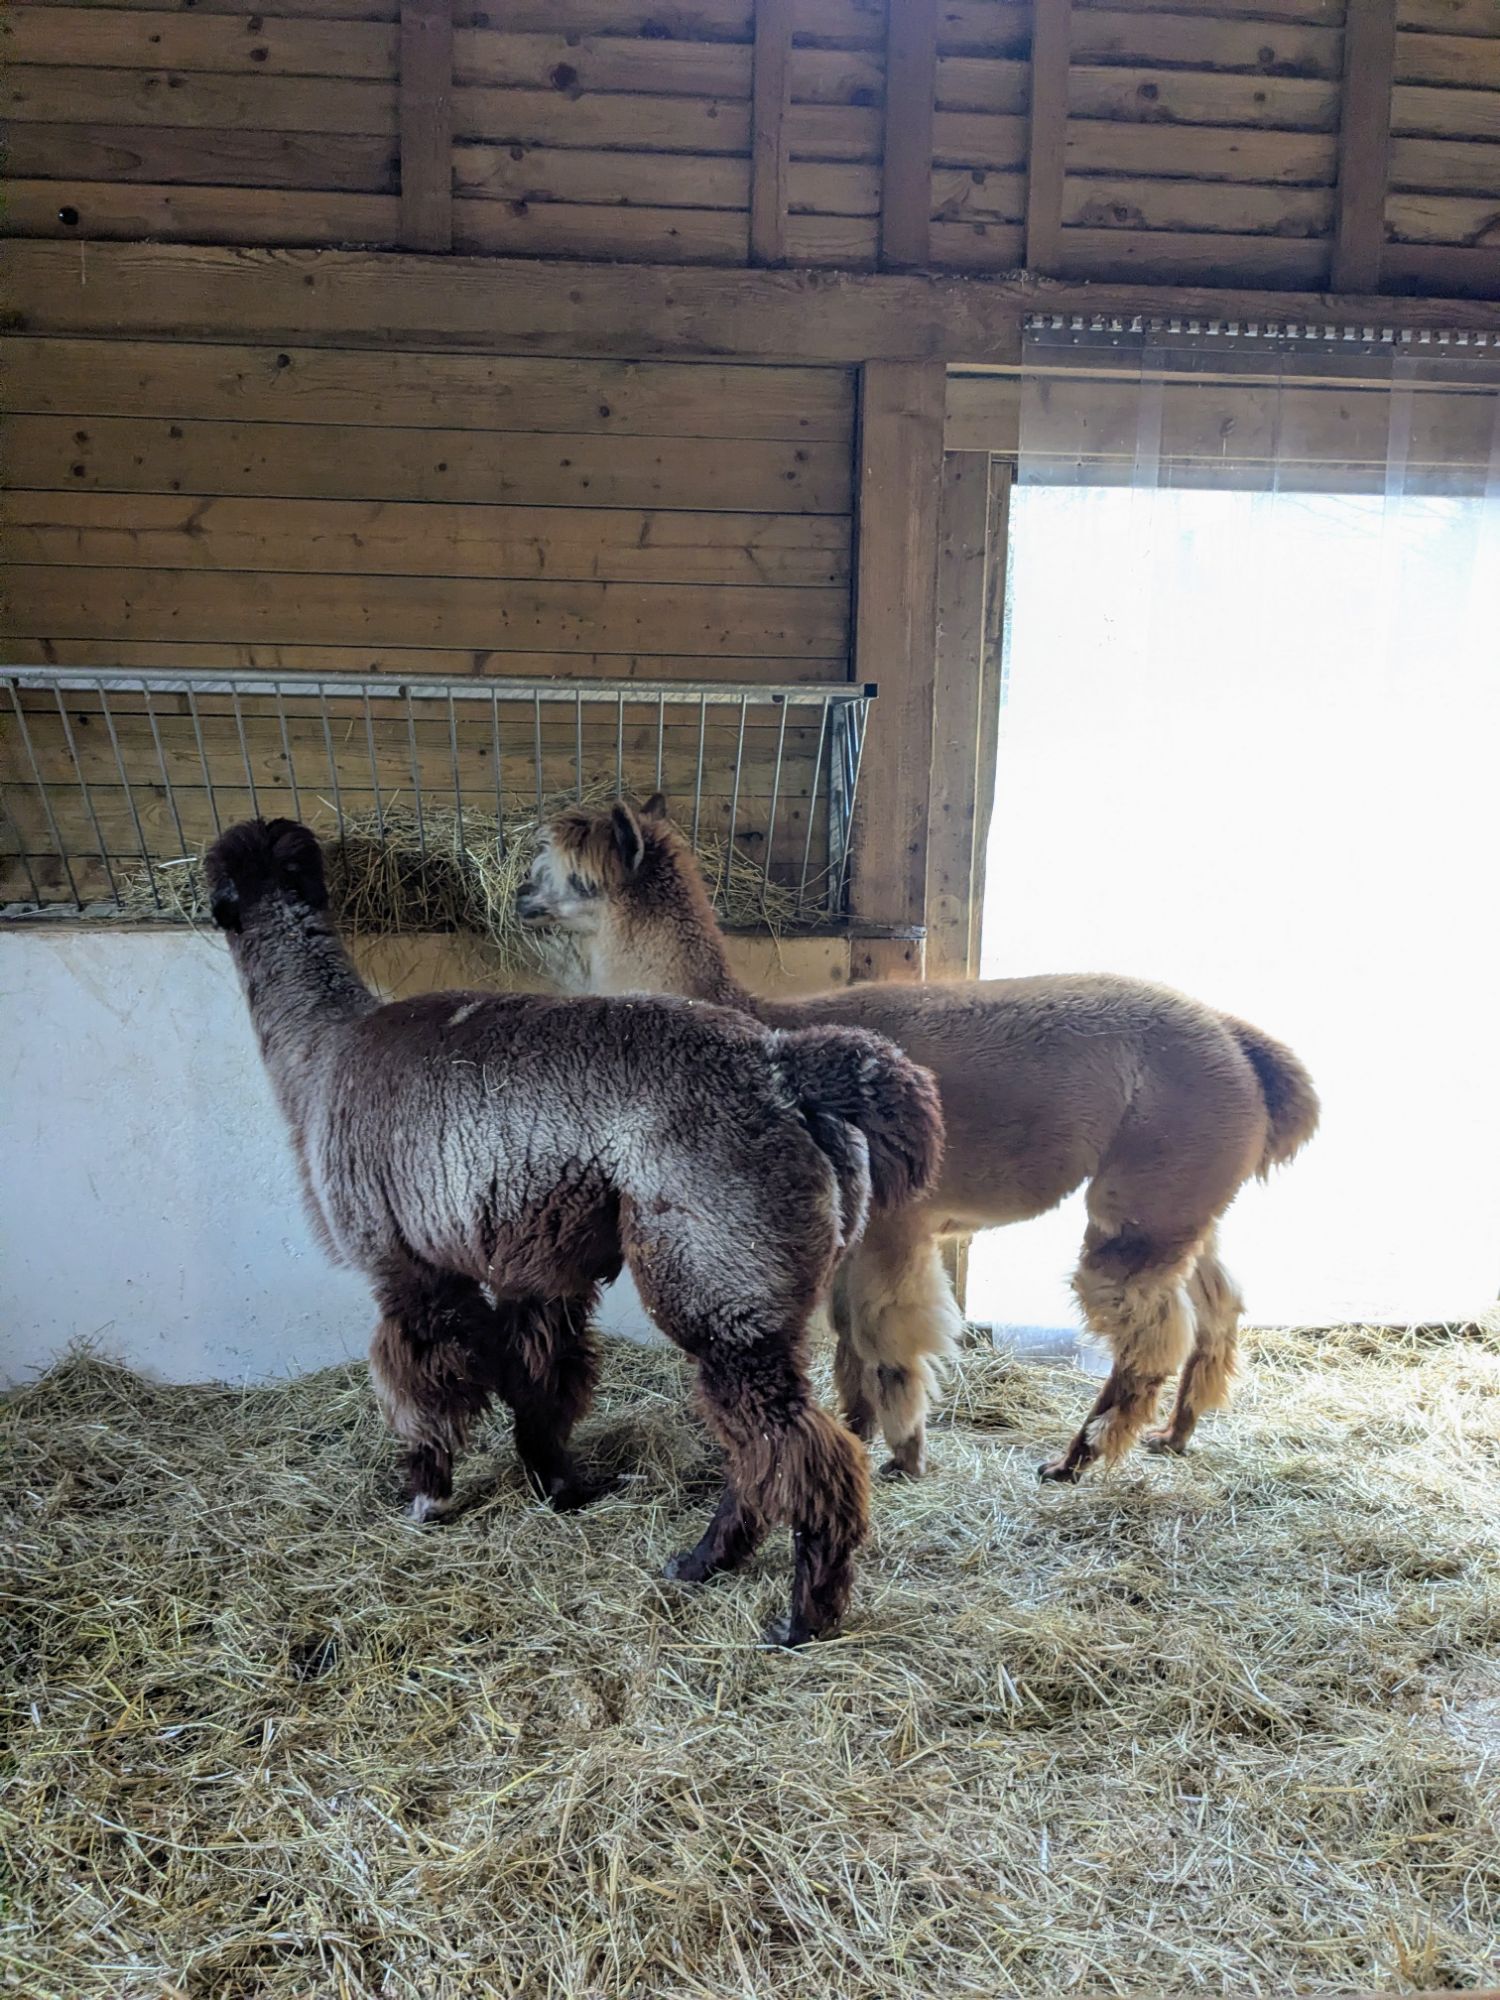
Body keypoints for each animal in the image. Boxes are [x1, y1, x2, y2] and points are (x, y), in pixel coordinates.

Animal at [205, 817, 944, 1645]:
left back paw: (799, 1614)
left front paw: (428, 1494)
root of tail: (785, 1067)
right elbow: (541, 1377)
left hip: (720, 1271)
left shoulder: (406, 1263)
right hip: (760, 1284)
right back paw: (704, 1563)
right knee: (759, 1451)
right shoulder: (536, 1266)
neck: (324, 1054)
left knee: (803, 1450)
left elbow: (421, 1381)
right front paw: (557, 1484)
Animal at [518, 795, 1320, 1484]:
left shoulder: (895, 1223)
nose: (521, 897)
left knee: (1152, 1326)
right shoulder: (852, 1227)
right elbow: (847, 1339)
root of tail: (1237, 1040)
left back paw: (1078, 1458)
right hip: (1187, 1192)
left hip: (1150, 1188)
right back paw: (1176, 1434)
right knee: (1218, 1304)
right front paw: (857, 1431)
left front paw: (905, 1456)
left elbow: (888, 1339)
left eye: (562, 870)